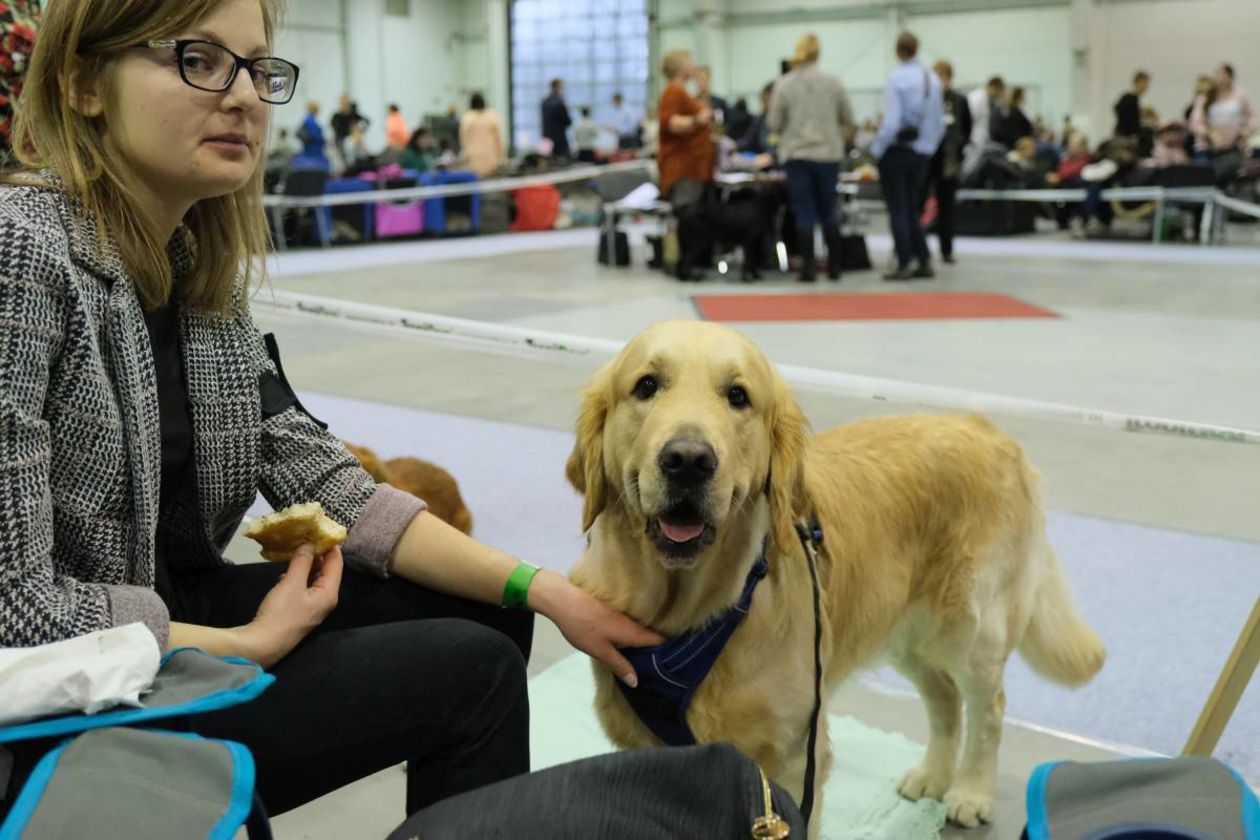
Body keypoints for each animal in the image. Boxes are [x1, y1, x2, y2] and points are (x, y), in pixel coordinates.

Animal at [564, 318, 1103, 831]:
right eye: (646, 386)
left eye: (738, 396)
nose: (689, 460)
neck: (688, 619)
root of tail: (990, 429)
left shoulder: (792, 761)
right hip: (901, 630)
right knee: (946, 700)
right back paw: (931, 776)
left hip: (970, 628)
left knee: (988, 708)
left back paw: (970, 792)